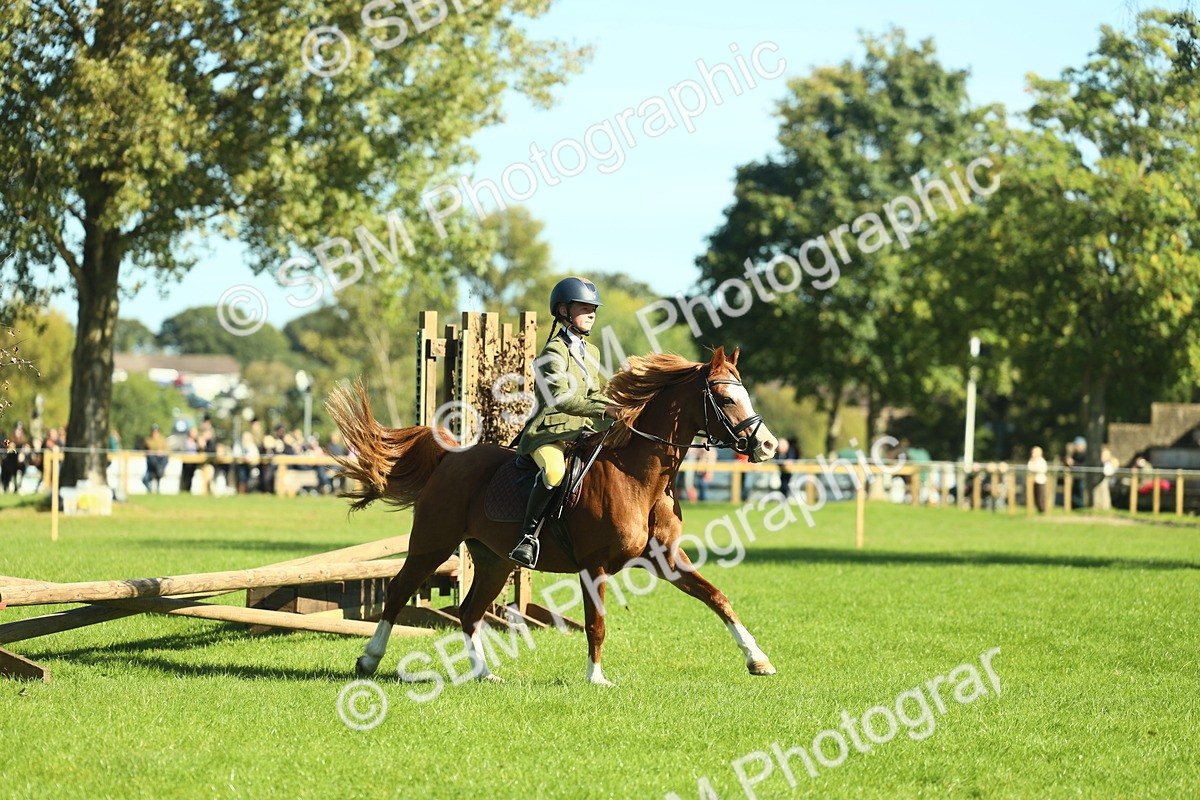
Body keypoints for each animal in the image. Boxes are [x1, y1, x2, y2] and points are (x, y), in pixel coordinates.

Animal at [327, 346, 780, 686]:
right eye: (726, 399)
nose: (769, 446)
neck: (640, 479)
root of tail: (450, 456)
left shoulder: (665, 558)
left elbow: (717, 598)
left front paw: (758, 659)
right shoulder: (593, 565)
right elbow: (597, 622)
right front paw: (596, 679)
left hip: (493, 560)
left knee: (470, 612)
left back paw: (484, 674)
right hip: (432, 544)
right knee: (399, 591)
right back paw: (369, 659)